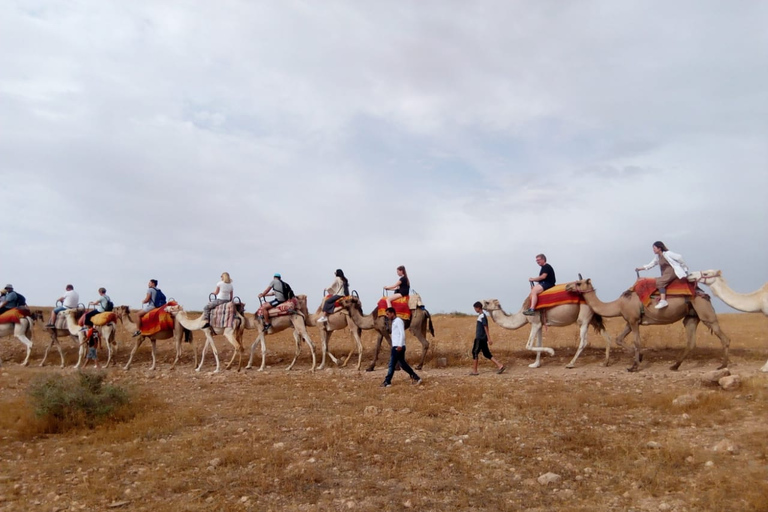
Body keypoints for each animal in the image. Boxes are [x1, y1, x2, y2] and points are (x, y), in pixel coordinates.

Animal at [480, 296, 612, 368]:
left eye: (487, 302)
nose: (477, 303)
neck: (523, 314)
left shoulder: (535, 323)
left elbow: (528, 345)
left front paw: (551, 352)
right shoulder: (539, 324)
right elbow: (538, 343)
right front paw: (535, 364)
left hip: (584, 318)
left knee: (583, 341)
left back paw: (570, 363)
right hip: (593, 318)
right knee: (606, 336)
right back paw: (605, 362)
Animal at [564, 280, 732, 372]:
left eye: (578, 282)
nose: (567, 286)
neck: (618, 304)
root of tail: (705, 295)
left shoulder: (633, 320)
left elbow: (637, 342)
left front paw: (634, 366)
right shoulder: (630, 321)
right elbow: (619, 339)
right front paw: (640, 358)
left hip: (704, 311)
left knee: (723, 336)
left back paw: (723, 365)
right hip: (691, 317)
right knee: (691, 341)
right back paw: (675, 366)